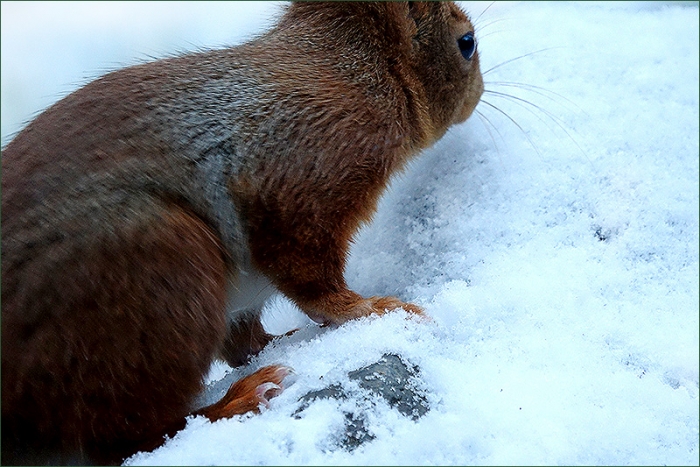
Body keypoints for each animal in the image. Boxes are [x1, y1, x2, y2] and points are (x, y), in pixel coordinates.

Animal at [1, 2, 483, 464]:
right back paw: (237, 402)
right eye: (467, 43)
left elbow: (244, 338)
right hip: (156, 271)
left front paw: (280, 339)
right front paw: (367, 308)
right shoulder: (306, 177)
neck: (355, 74)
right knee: (126, 438)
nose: (480, 91)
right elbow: (310, 276)